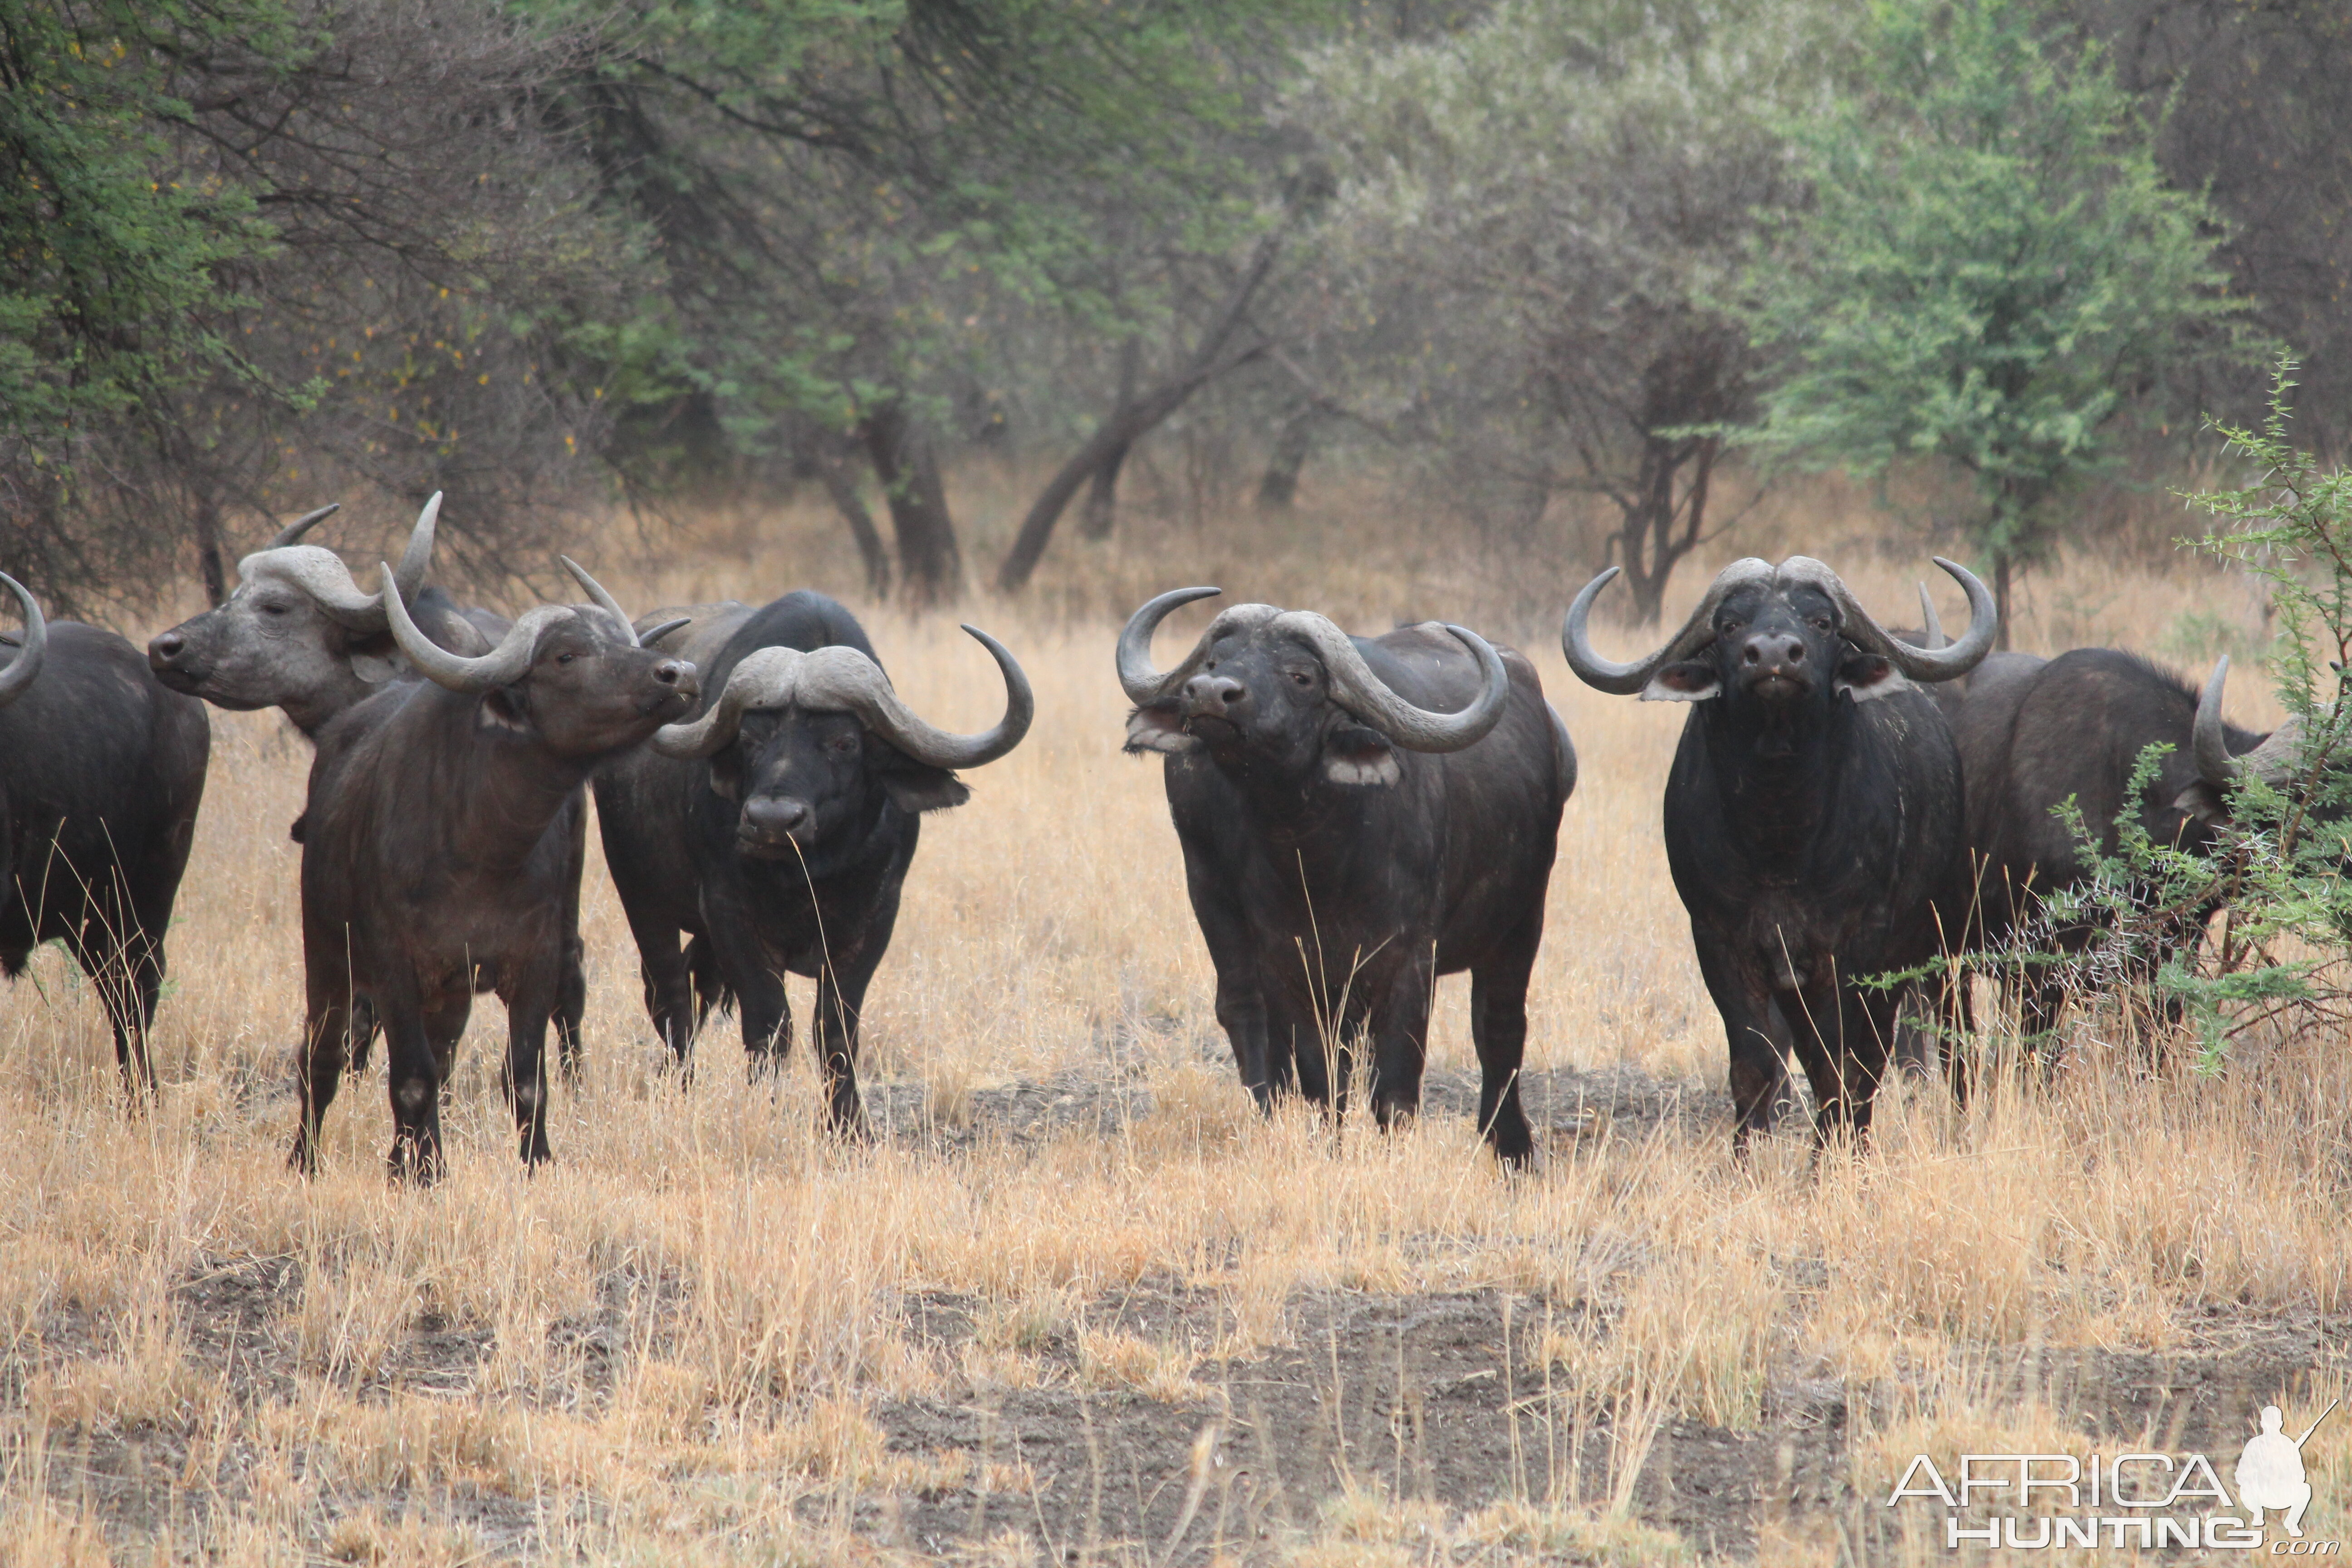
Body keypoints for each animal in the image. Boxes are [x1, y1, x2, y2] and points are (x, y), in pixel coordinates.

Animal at [290, 557, 691, 1185]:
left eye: (619, 640)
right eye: (566, 655)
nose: (677, 673)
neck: (480, 849)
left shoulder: (534, 963)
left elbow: (525, 1079)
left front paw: (535, 1163)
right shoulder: (392, 967)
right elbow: (410, 1077)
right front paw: (424, 1175)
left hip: (449, 993)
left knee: (441, 1056)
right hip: (328, 957)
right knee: (323, 1059)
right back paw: (306, 1160)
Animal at [588, 588, 1030, 1128]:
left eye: (844, 742)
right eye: (751, 739)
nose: (772, 820)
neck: (808, 876)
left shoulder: (875, 921)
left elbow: (836, 1027)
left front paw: (847, 1126)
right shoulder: (729, 914)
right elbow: (769, 1024)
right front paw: (764, 1112)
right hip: (640, 896)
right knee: (670, 999)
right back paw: (679, 1088)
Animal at [1110, 592, 1571, 1166]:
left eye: (1301, 676)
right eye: (1215, 661)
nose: (1211, 694)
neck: (1317, 859)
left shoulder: (1410, 965)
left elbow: (1396, 1088)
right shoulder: (1290, 965)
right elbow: (1321, 1081)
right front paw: (1326, 1146)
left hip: (1522, 920)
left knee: (1499, 1026)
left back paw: (1513, 1148)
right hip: (1212, 901)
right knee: (1243, 1008)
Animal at [1571, 557, 1994, 1147]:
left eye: (1821, 622)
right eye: (1729, 625)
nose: (1773, 656)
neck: (1781, 837)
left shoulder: (1857, 949)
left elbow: (1845, 1064)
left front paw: (1838, 1154)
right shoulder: (1723, 945)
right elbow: (1757, 1065)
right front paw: (1749, 1158)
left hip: (1943, 940)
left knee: (1949, 1037)